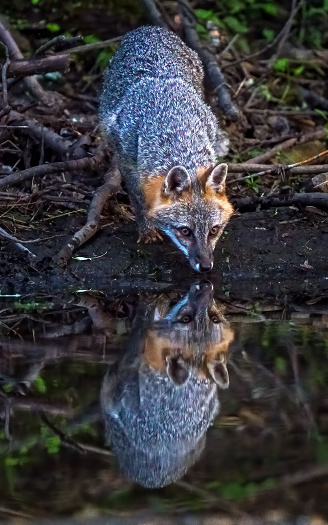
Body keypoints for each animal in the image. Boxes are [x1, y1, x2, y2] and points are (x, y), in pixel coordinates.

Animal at [100, 25, 233, 272]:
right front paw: (146, 229)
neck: (176, 130)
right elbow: (139, 199)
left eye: (214, 230)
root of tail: (148, 29)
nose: (205, 267)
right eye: (185, 231)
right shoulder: (128, 161)